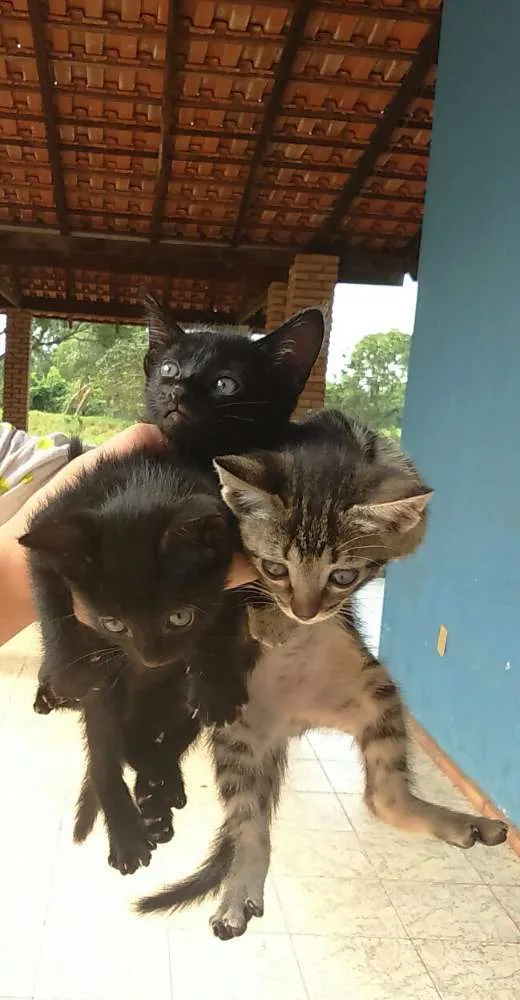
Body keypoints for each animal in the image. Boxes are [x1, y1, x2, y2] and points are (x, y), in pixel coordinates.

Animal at [138, 408, 508, 936]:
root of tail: (290, 723)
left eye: (343, 577)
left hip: (377, 692)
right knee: (250, 826)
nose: (305, 612)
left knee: (383, 800)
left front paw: (397, 530)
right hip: (236, 738)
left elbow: (412, 526)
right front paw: (268, 620)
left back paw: (458, 821)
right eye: (274, 568)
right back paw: (239, 887)